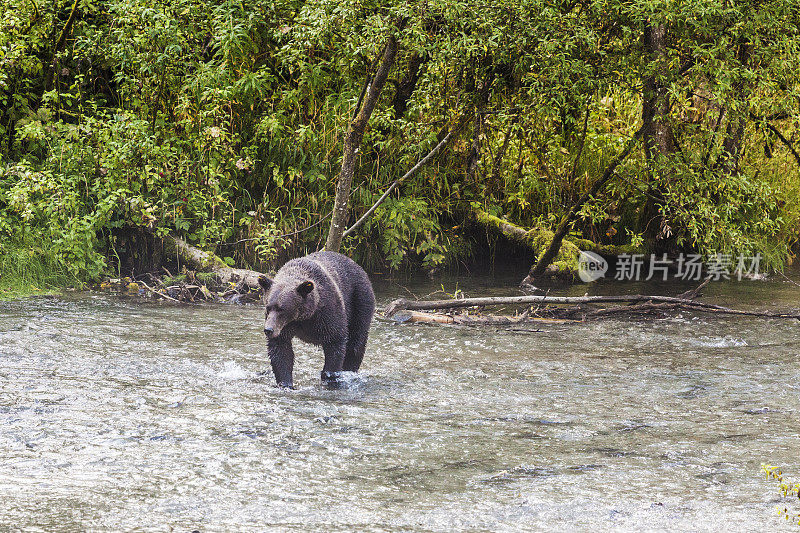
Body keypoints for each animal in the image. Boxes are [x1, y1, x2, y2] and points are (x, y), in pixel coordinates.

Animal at [260, 249, 378, 386]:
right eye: (268, 307)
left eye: (282, 309)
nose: (268, 330)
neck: (303, 316)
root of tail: (358, 266)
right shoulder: (285, 326)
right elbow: (280, 351)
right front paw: (286, 383)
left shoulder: (327, 313)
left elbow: (335, 342)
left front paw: (329, 376)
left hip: (359, 299)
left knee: (357, 339)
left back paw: (350, 369)